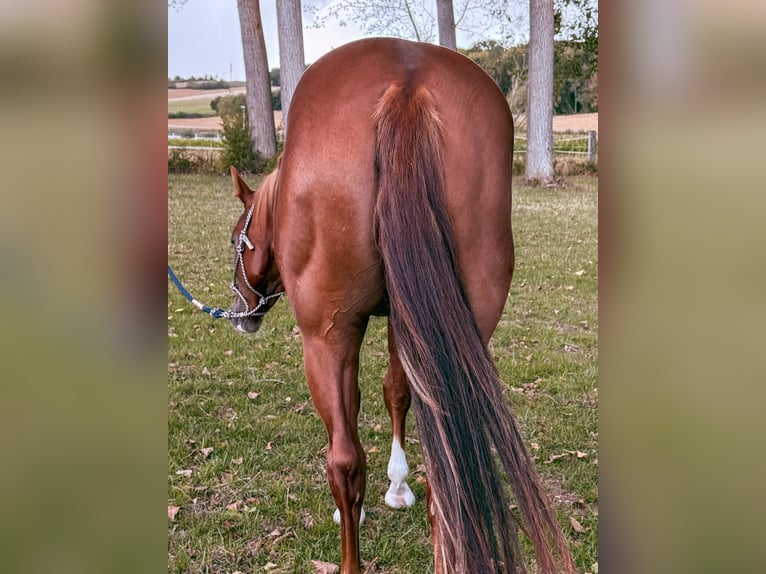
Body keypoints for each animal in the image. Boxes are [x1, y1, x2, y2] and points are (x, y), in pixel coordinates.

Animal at [226, 38, 575, 574]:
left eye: (235, 242)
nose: (241, 311)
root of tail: (406, 84)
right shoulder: (405, 321)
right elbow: (397, 391)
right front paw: (399, 486)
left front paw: (378, 497)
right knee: (447, 466)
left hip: (326, 338)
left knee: (344, 462)